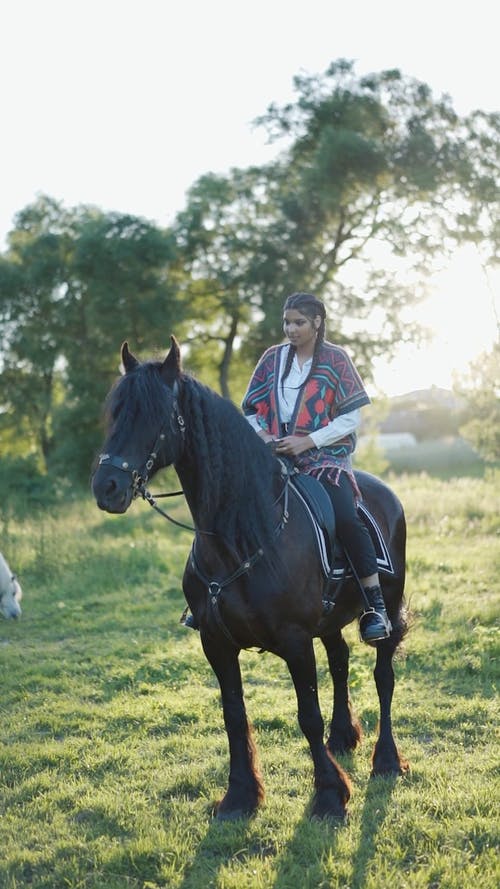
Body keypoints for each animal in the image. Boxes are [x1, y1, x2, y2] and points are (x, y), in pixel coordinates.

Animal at [92, 338, 408, 820]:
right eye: (116, 412)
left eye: (155, 416)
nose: (106, 486)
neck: (243, 535)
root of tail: (384, 494)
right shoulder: (216, 643)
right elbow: (234, 716)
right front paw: (240, 794)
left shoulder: (295, 640)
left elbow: (307, 715)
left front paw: (329, 794)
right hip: (329, 621)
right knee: (339, 662)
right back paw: (342, 737)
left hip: (386, 609)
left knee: (383, 675)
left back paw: (386, 759)